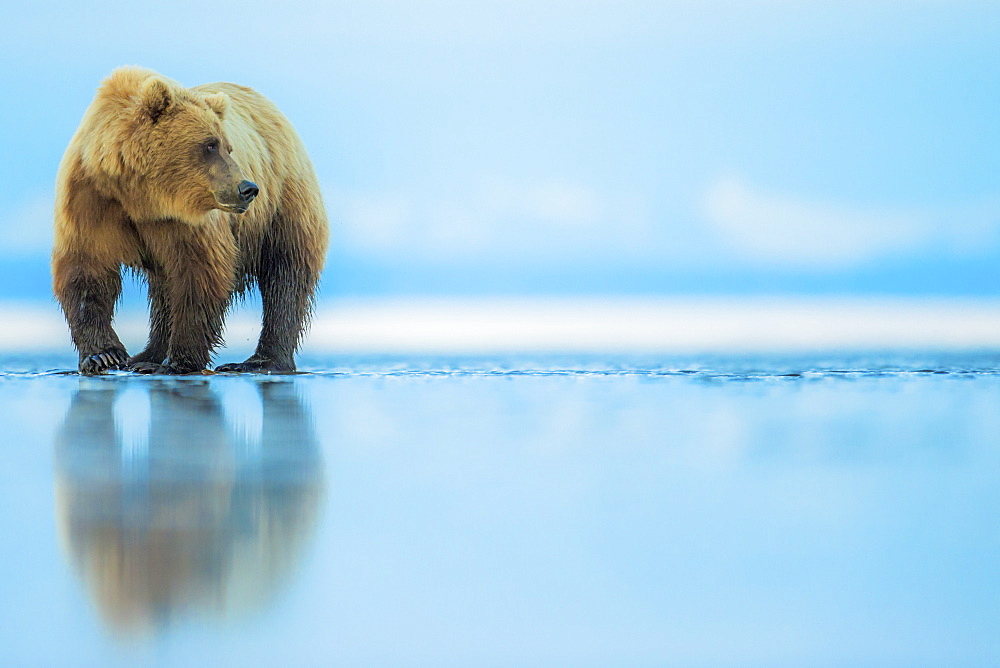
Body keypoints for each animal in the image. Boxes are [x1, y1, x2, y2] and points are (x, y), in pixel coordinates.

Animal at [52, 68, 328, 376]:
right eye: (210, 145)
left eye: (228, 147)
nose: (248, 188)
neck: (140, 195)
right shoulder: (91, 198)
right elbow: (86, 270)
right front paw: (103, 356)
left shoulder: (188, 219)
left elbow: (200, 273)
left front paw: (178, 362)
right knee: (163, 289)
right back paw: (147, 356)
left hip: (283, 202)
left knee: (285, 277)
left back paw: (261, 361)